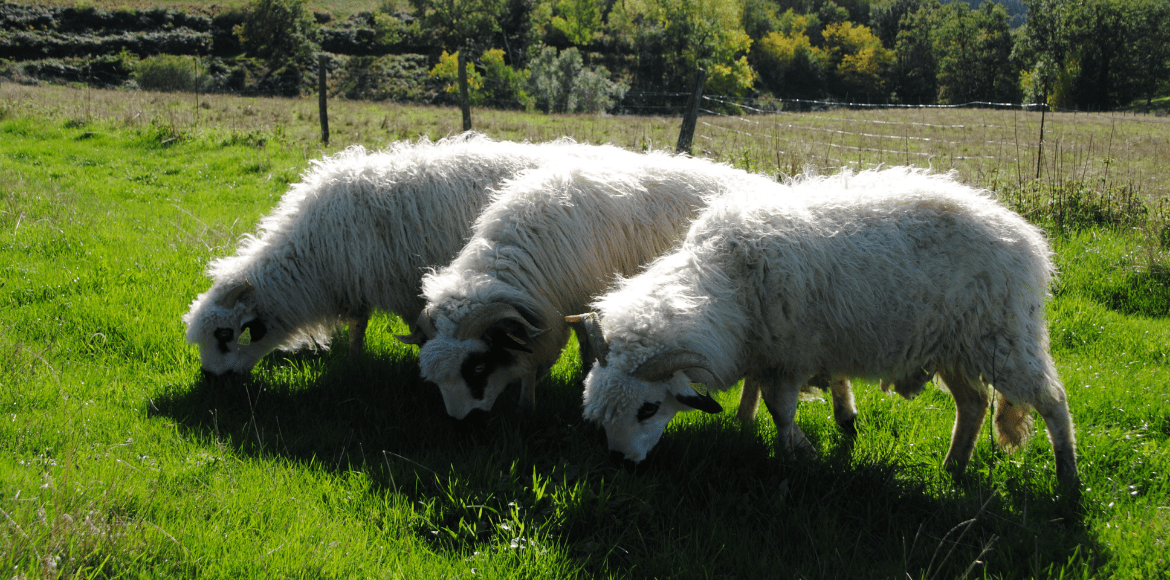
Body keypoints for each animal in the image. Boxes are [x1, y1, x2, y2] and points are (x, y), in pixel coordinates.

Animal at [181, 131, 631, 376]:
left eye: (225, 335)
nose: (210, 378)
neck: (310, 258)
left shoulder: (400, 285)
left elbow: (413, 328)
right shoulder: (358, 281)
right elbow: (358, 324)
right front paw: (355, 359)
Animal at [575, 167, 1076, 488]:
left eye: (648, 409)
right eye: (598, 414)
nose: (621, 464)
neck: (726, 281)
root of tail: (1027, 239)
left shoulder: (792, 355)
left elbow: (780, 408)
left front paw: (799, 452)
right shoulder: (766, 350)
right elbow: (760, 392)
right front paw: (746, 423)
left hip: (1002, 337)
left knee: (1052, 401)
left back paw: (1068, 482)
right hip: (953, 345)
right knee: (972, 404)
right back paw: (952, 469)